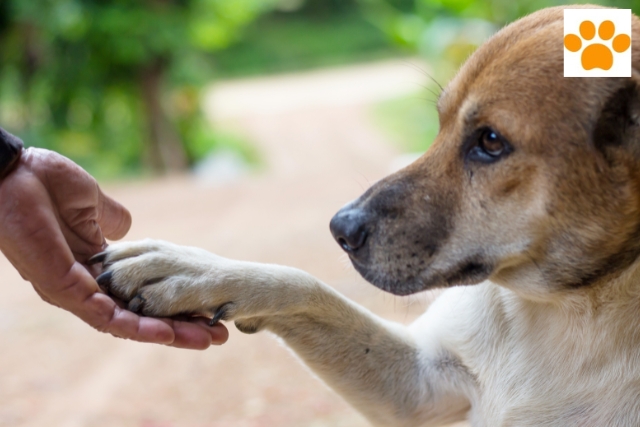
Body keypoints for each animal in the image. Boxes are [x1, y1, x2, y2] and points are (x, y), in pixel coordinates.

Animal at [91, 6, 640, 427]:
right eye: (440, 123)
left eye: (490, 141)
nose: (341, 229)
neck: (568, 306)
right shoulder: (420, 383)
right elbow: (305, 287)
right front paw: (193, 270)